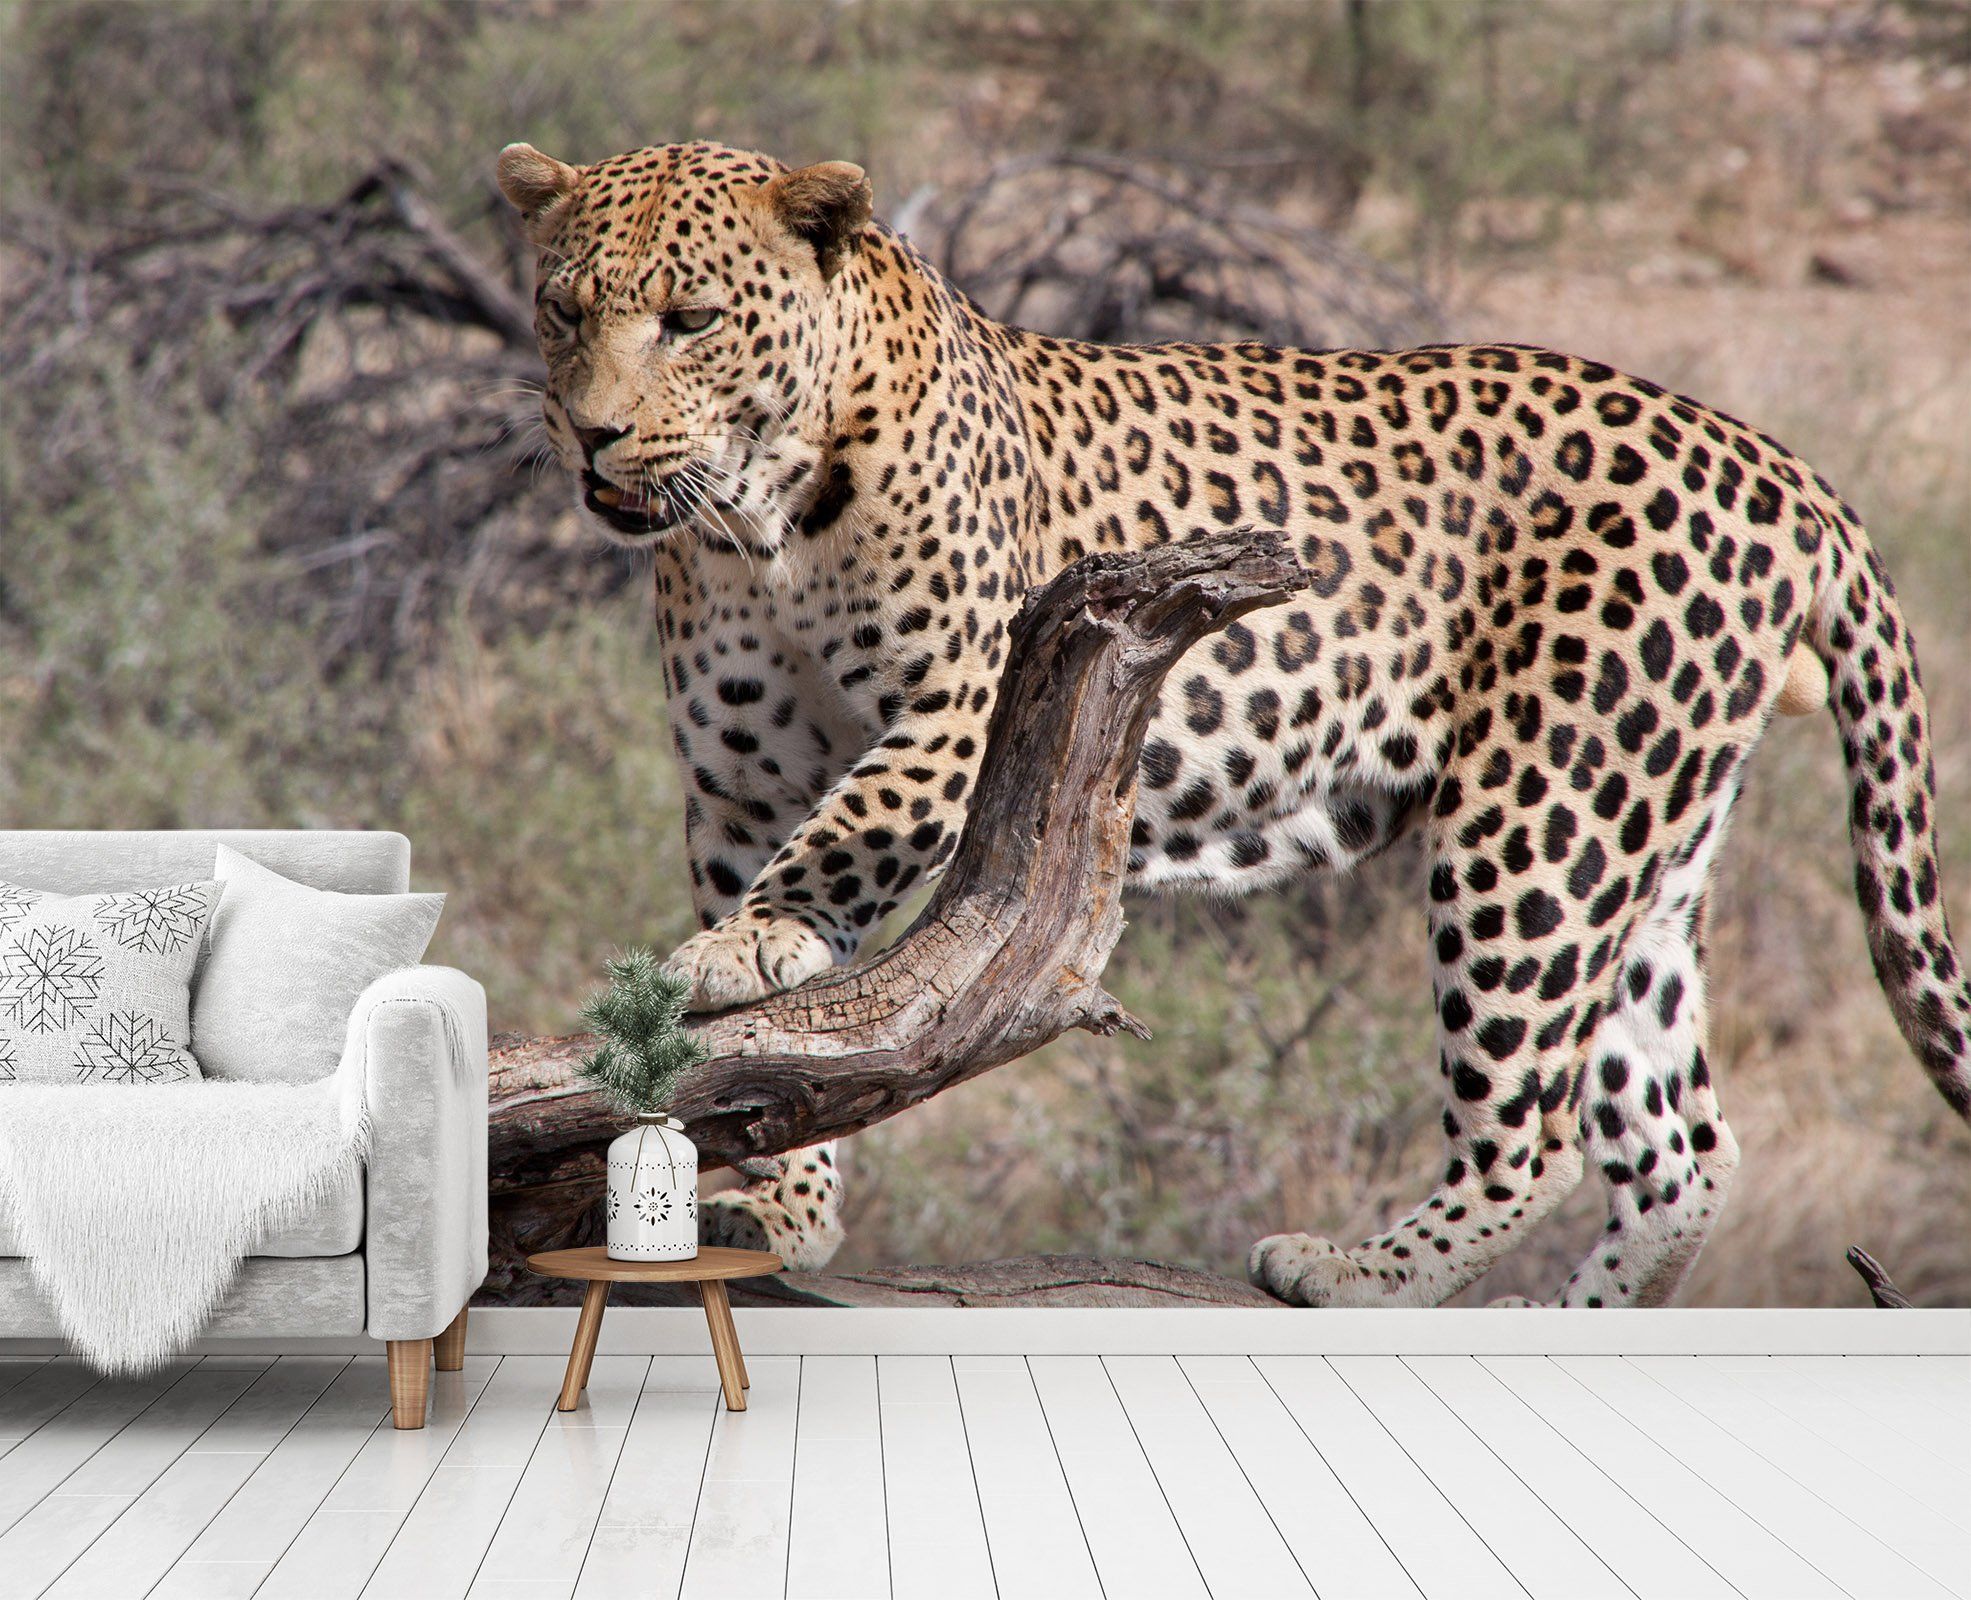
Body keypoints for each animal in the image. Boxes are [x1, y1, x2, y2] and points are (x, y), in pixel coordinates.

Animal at [497, 138, 1970, 1306]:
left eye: (690, 319)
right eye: (563, 311)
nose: (593, 436)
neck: (756, 524)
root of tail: (1774, 460)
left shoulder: (969, 696)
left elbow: (850, 836)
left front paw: (744, 946)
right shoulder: (738, 783)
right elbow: (789, 1046)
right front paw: (784, 1200)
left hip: (1543, 820)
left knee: (1539, 1128)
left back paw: (1359, 1271)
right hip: (1647, 843)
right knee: (1680, 1153)